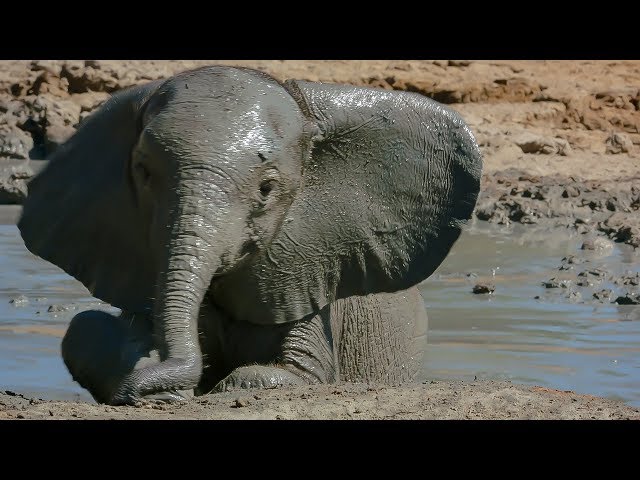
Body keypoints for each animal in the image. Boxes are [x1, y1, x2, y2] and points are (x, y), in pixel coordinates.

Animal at [17, 65, 482, 404]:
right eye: (143, 172)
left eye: (267, 189)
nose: (167, 390)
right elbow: (82, 332)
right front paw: (154, 377)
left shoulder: (308, 269)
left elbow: (295, 372)